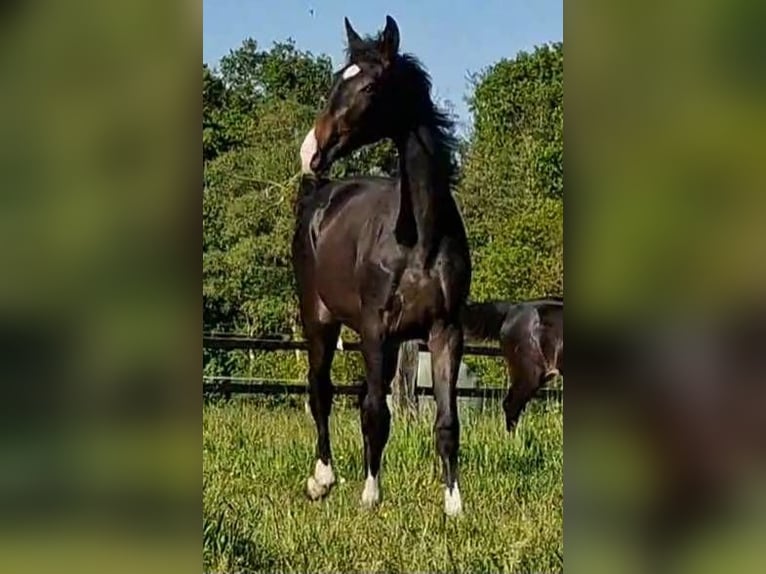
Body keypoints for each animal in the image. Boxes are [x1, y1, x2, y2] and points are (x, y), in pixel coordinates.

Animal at [292, 16, 472, 516]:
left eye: (370, 86)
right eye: (338, 78)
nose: (310, 151)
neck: (420, 240)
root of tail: (320, 195)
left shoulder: (445, 331)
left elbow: (447, 422)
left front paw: (454, 504)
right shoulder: (375, 328)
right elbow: (375, 412)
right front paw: (370, 495)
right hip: (319, 320)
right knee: (321, 391)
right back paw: (323, 479)